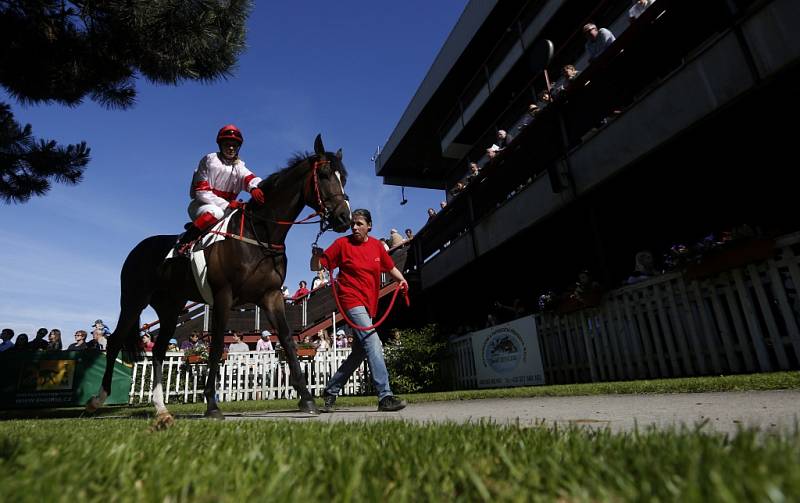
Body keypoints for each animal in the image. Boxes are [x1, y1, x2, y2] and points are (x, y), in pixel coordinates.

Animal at [86, 135, 352, 426]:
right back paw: (97, 400)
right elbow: (214, 348)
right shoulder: (224, 296)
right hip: (133, 301)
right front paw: (212, 404)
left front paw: (307, 399)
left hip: (169, 308)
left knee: (157, 350)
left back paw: (161, 408)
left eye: (344, 177)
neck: (258, 235)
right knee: (114, 342)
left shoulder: (271, 296)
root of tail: (138, 248)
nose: (345, 217)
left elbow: (287, 341)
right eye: (325, 174)